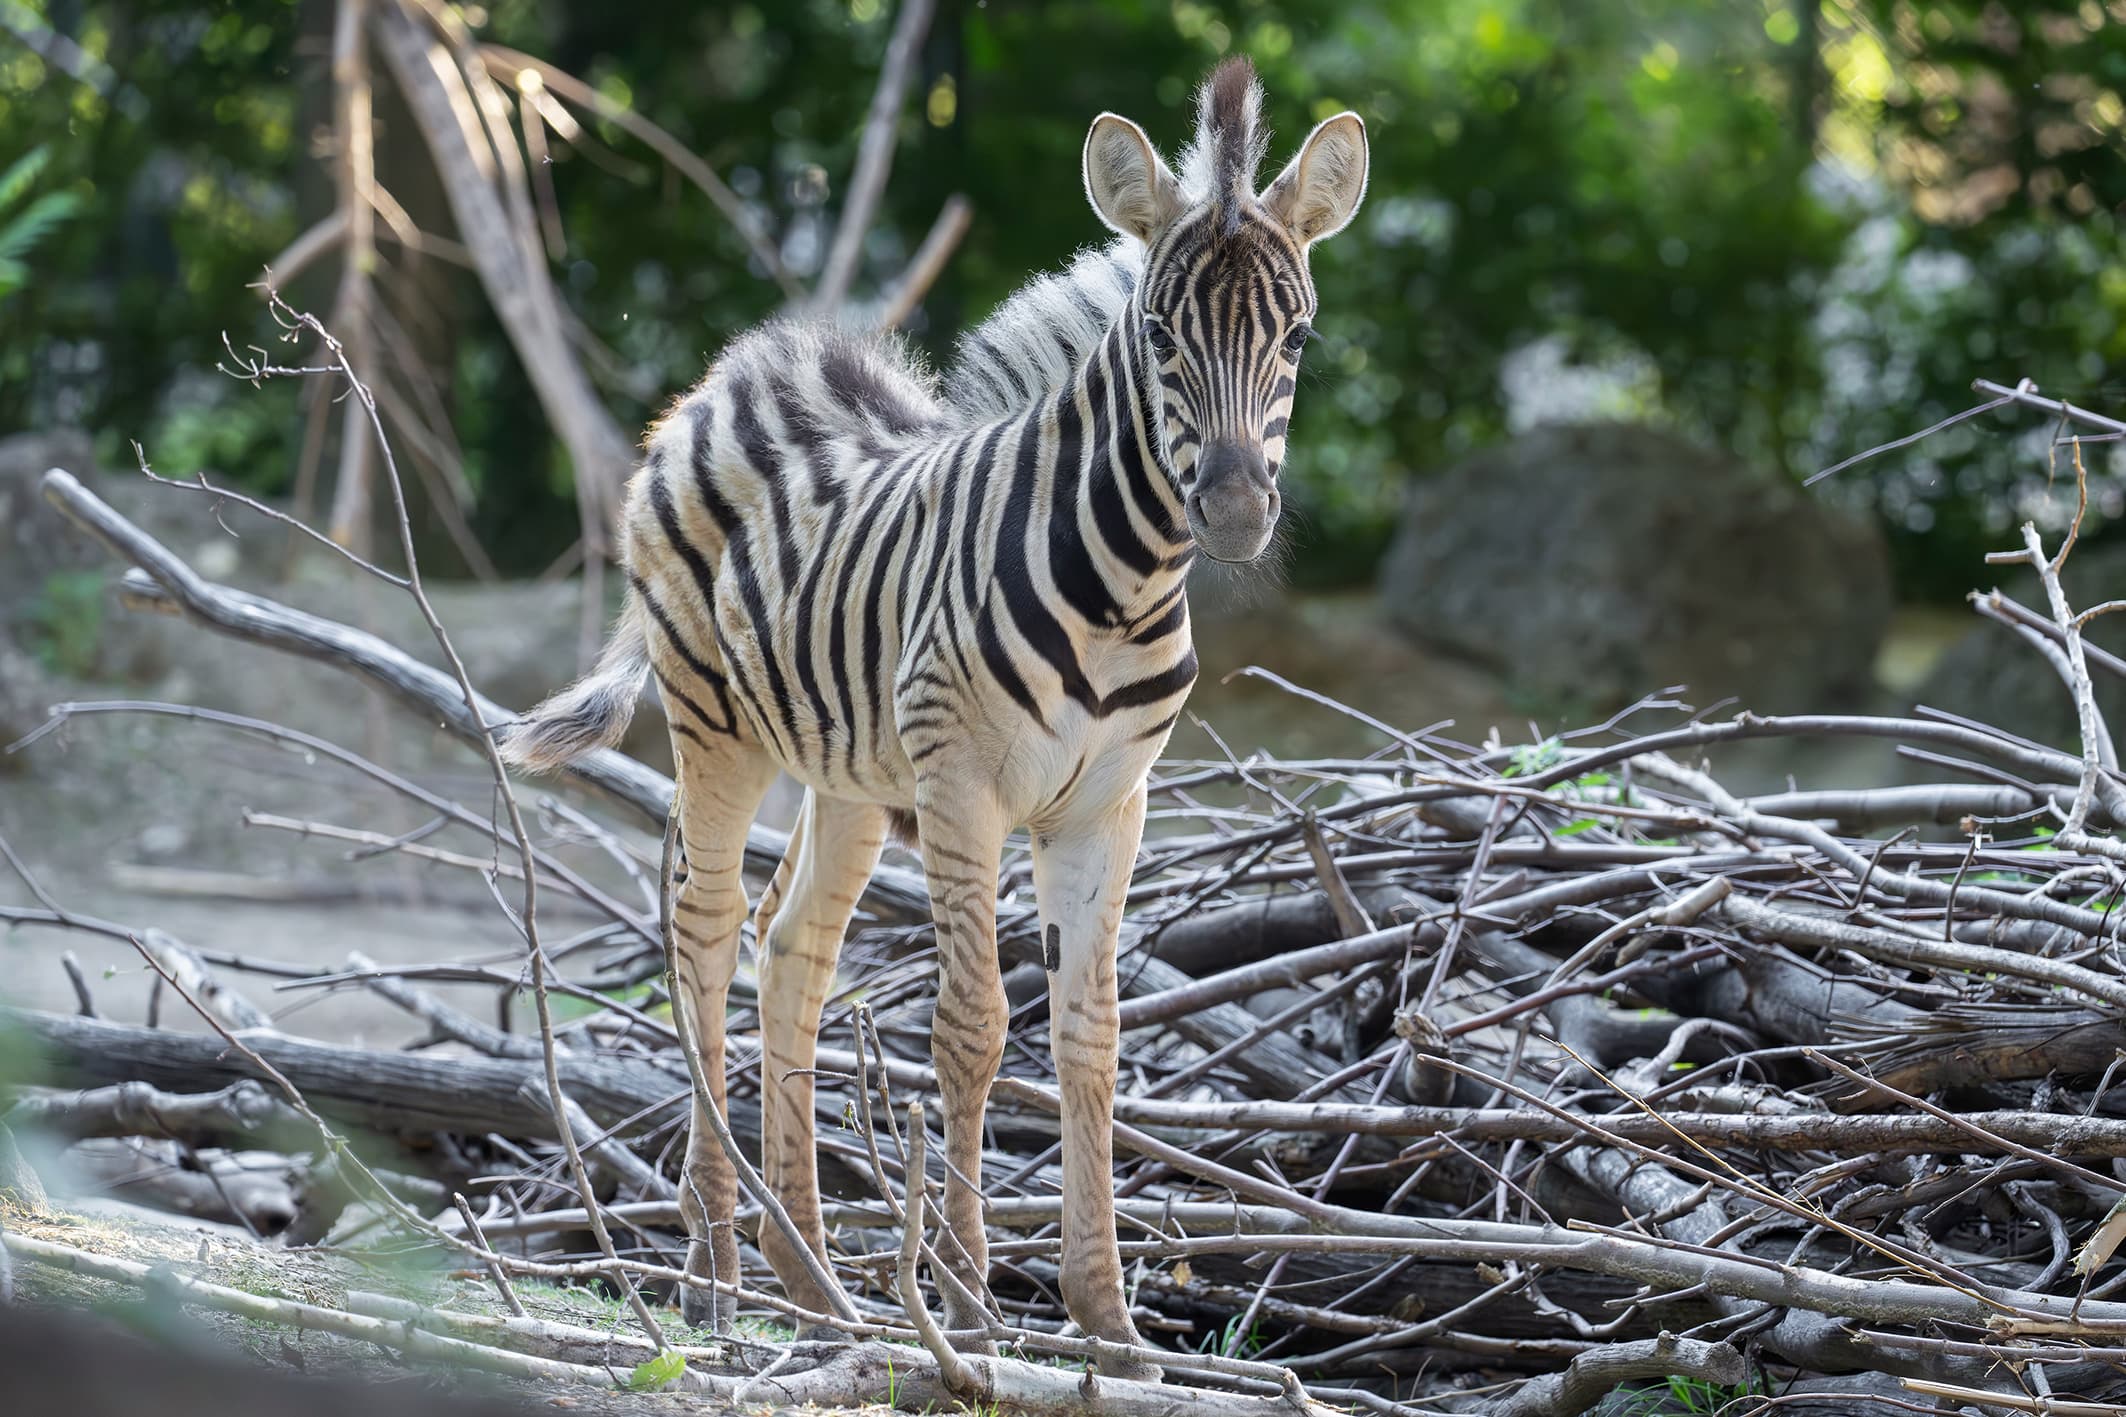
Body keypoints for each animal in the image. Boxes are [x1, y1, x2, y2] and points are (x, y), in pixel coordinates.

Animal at [499, 56, 1367, 1378]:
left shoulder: (1108, 807)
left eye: (1299, 335)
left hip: (848, 772)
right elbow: (974, 1028)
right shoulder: (964, 787)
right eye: (1159, 333)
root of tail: (736, 372)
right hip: (715, 728)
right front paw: (963, 1303)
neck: (1124, 584)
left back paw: (814, 1287)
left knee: (791, 950)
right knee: (702, 935)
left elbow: (1090, 1040)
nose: (1227, 509)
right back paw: (713, 1276)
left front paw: (1106, 1321)